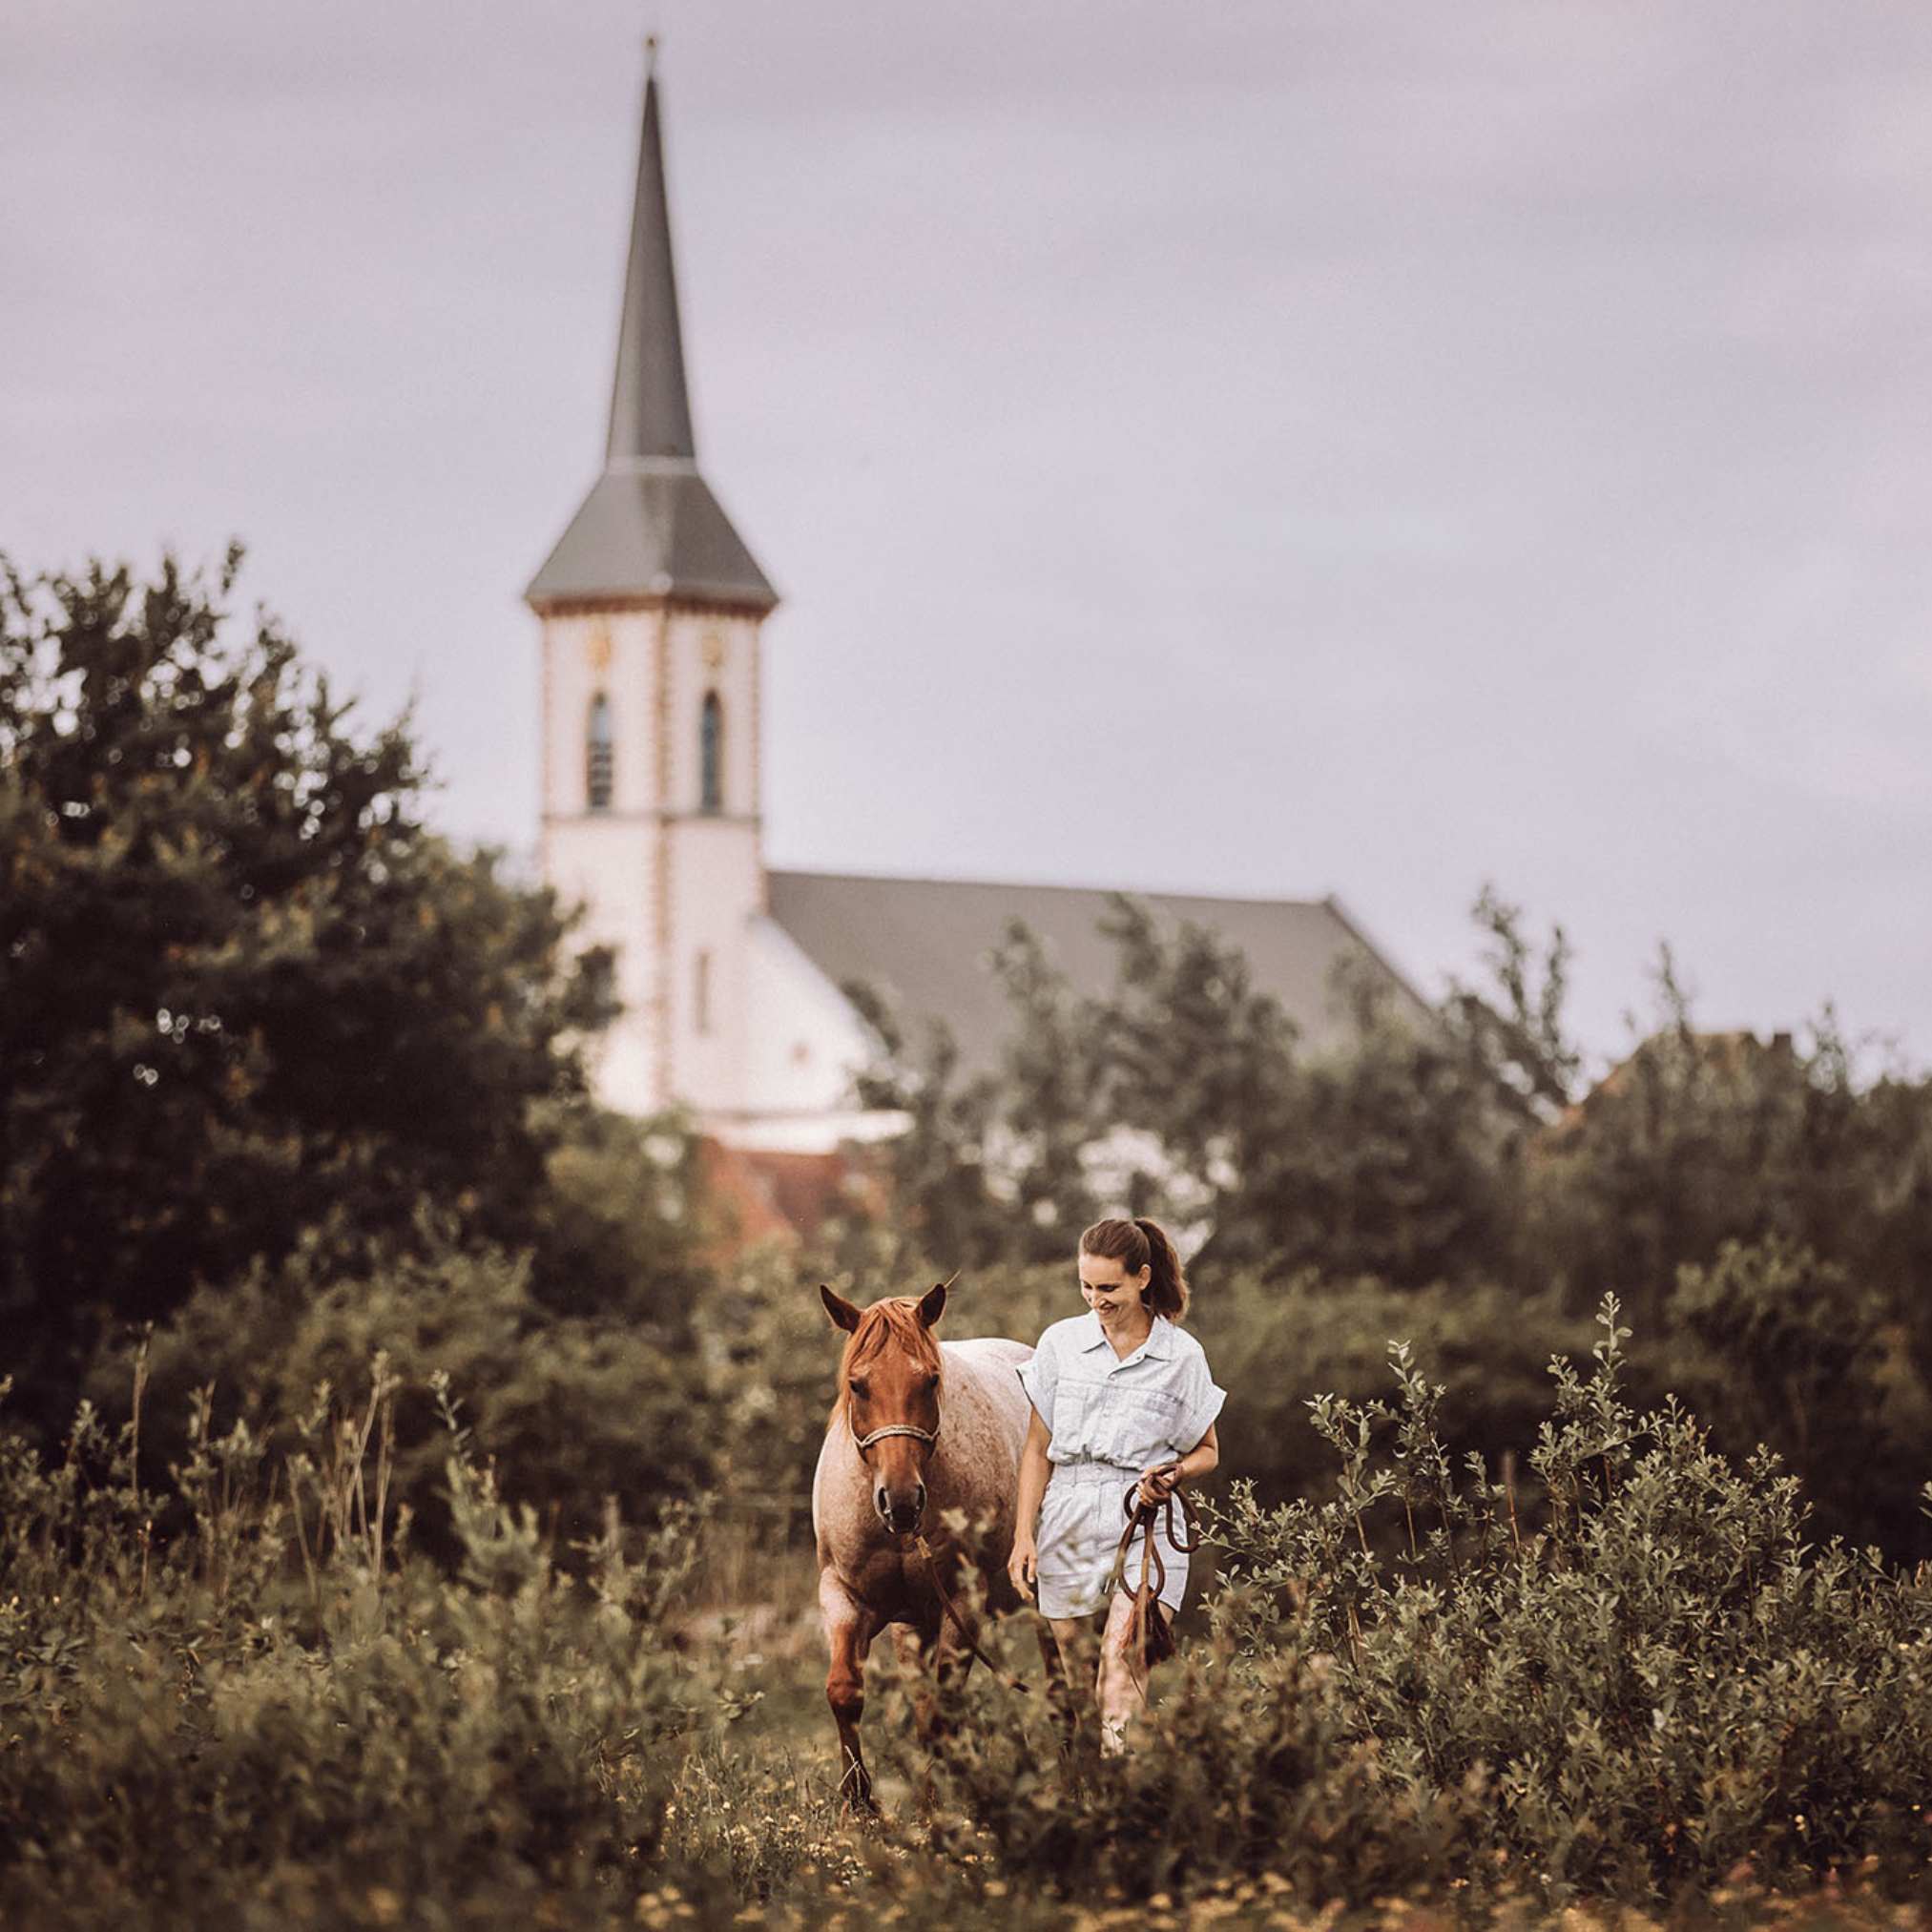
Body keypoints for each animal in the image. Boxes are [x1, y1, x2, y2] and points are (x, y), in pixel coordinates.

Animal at [807, 1282, 1035, 1808]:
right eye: (857, 1384)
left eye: (930, 1381)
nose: (902, 1501)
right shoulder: (845, 1596)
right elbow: (845, 1692)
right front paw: (859, 1804)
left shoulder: (964, 1604)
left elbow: (940, 1715)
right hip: (914, 1625)